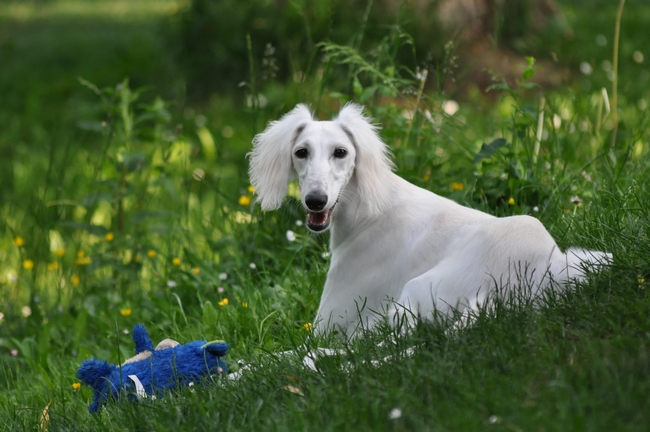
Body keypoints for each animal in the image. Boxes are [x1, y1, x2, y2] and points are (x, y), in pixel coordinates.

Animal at [247, 104, 608, 338]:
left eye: (341, 152)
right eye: (301, 152)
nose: (316, 201)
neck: (367, 211)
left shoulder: (329, 325)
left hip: (410, 296)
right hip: (588, 258)